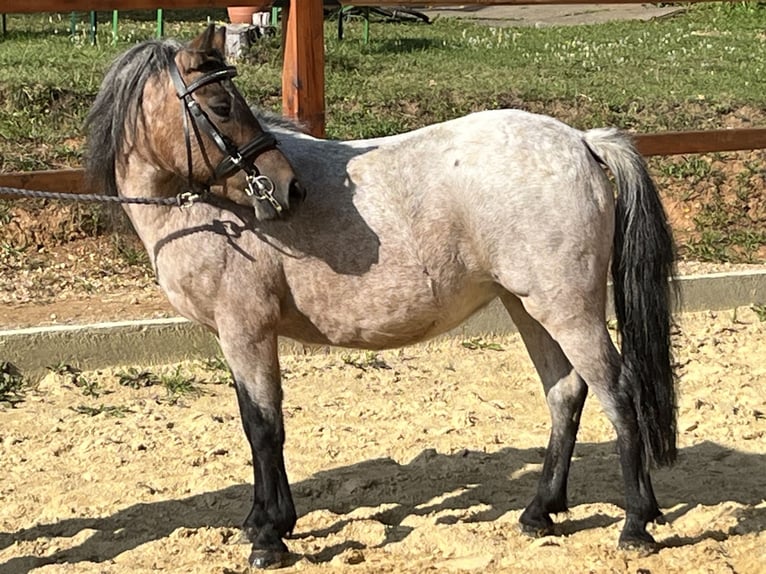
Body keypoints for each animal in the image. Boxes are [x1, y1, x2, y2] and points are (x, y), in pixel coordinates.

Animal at [84, 25, 680, 572]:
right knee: (566, 393)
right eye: (221, 104)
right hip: (528, 307)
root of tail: (581, 140)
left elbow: (264, 426)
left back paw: (636, 525)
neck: (213, 215)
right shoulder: (236, 339)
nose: (288, 188)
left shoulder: (246, 332)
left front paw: (270, 536)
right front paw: (263, 520)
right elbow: (256, 422)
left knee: (618, 393)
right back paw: (540, 513)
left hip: (568, 309)